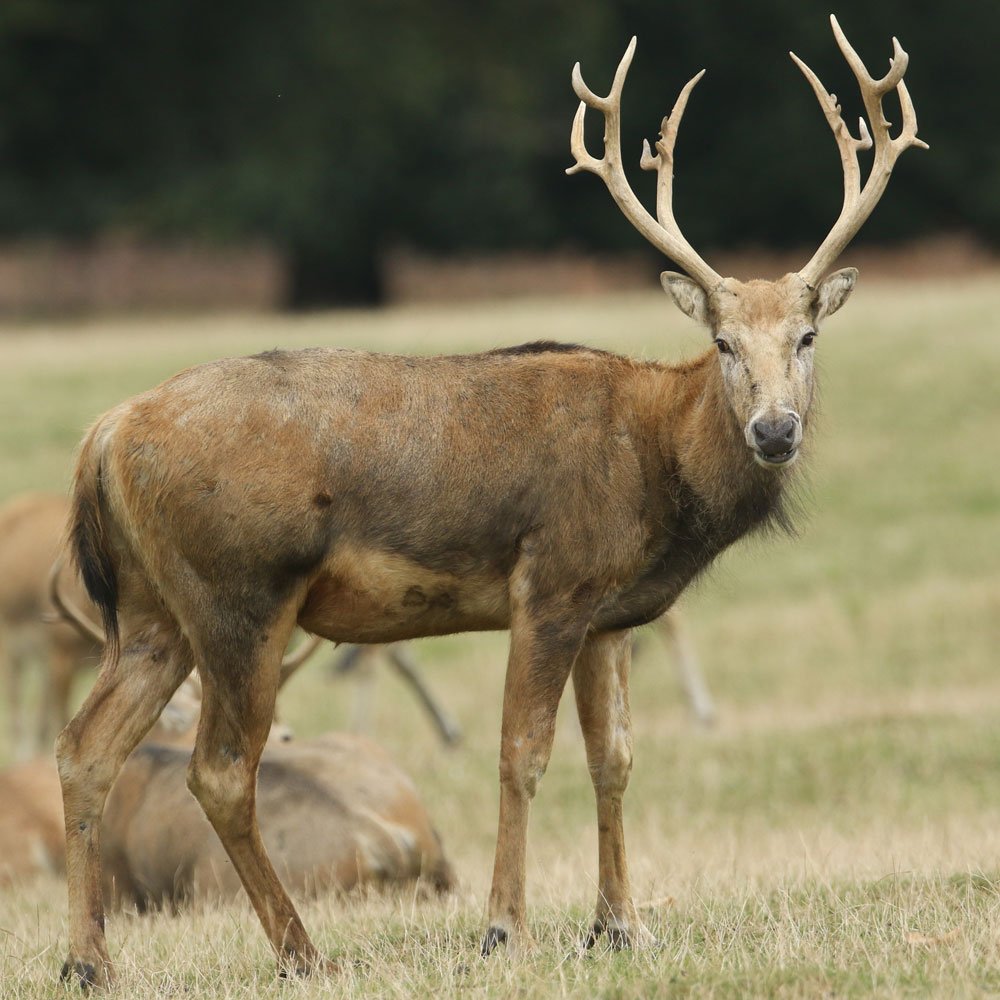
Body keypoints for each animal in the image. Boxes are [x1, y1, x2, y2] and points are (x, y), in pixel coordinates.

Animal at [53, 16, 924, 987]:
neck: (655, 467)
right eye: (725, 342)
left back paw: (89, 962)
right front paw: (505, 929)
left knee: (87, 747)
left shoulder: (610, 614)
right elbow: (522, 754)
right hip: (239, 592)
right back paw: (301, 952)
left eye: (806, 336)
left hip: (153, 609)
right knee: (219, 769)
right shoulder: (552, 581)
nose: (775, 429)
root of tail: (105, 434)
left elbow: (615, 757)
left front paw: (619, 926)